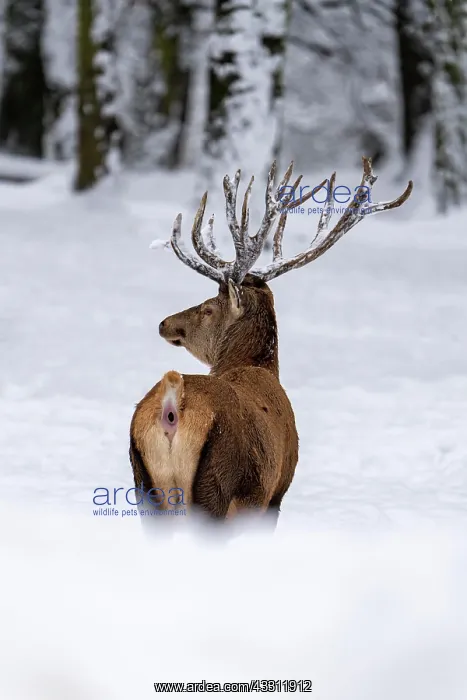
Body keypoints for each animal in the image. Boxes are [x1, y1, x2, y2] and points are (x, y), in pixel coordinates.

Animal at [129, 157, 413, 527]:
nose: (165, 323)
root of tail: (172, 406)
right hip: (216, 486)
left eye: (207, 308)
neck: (257, 366)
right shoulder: (277, 492)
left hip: (150, 484)